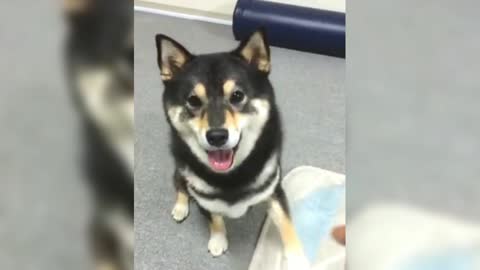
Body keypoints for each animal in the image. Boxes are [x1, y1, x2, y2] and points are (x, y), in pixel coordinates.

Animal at [156, 28, 310, 266]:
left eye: (237, 95)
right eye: (193, 100)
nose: (217, 136)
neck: (232, 174)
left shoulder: (274, 189)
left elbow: (286, 224)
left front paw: (297, 258)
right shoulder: (205, 200)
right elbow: (216, 219)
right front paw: (218, 240)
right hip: (181, 167)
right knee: (180, 185)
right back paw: (180, 207)